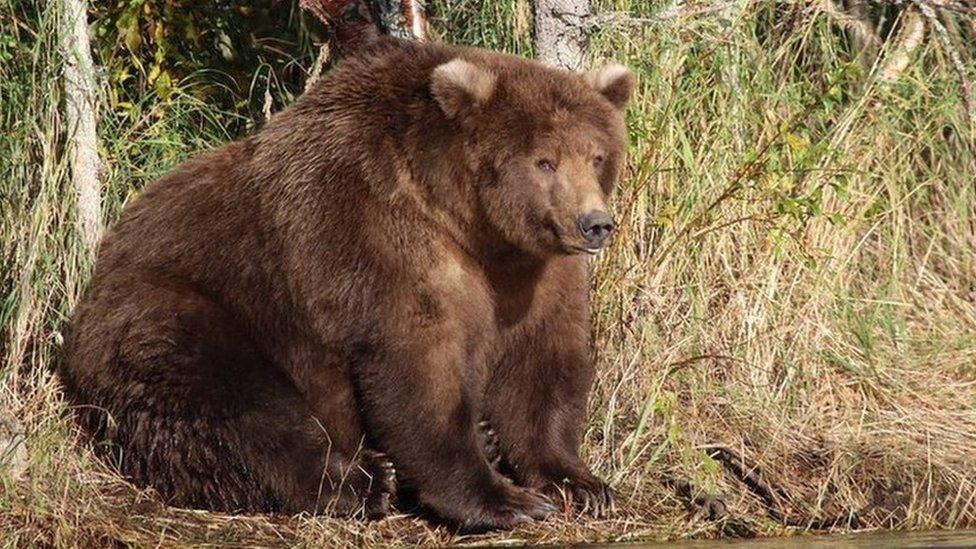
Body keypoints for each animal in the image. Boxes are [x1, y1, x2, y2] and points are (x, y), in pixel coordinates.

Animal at [63, 35, 632, 532]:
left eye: (597, 155)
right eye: (544, 160)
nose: (595, 224)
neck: (469, 223)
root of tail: (95, 278)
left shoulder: (533, 273)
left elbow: (542, 363)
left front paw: (579, 483)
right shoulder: (374, 235)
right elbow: (418, 367)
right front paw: (504, 499)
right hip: (180, 311)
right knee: (237, 407)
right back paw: (364, 481)